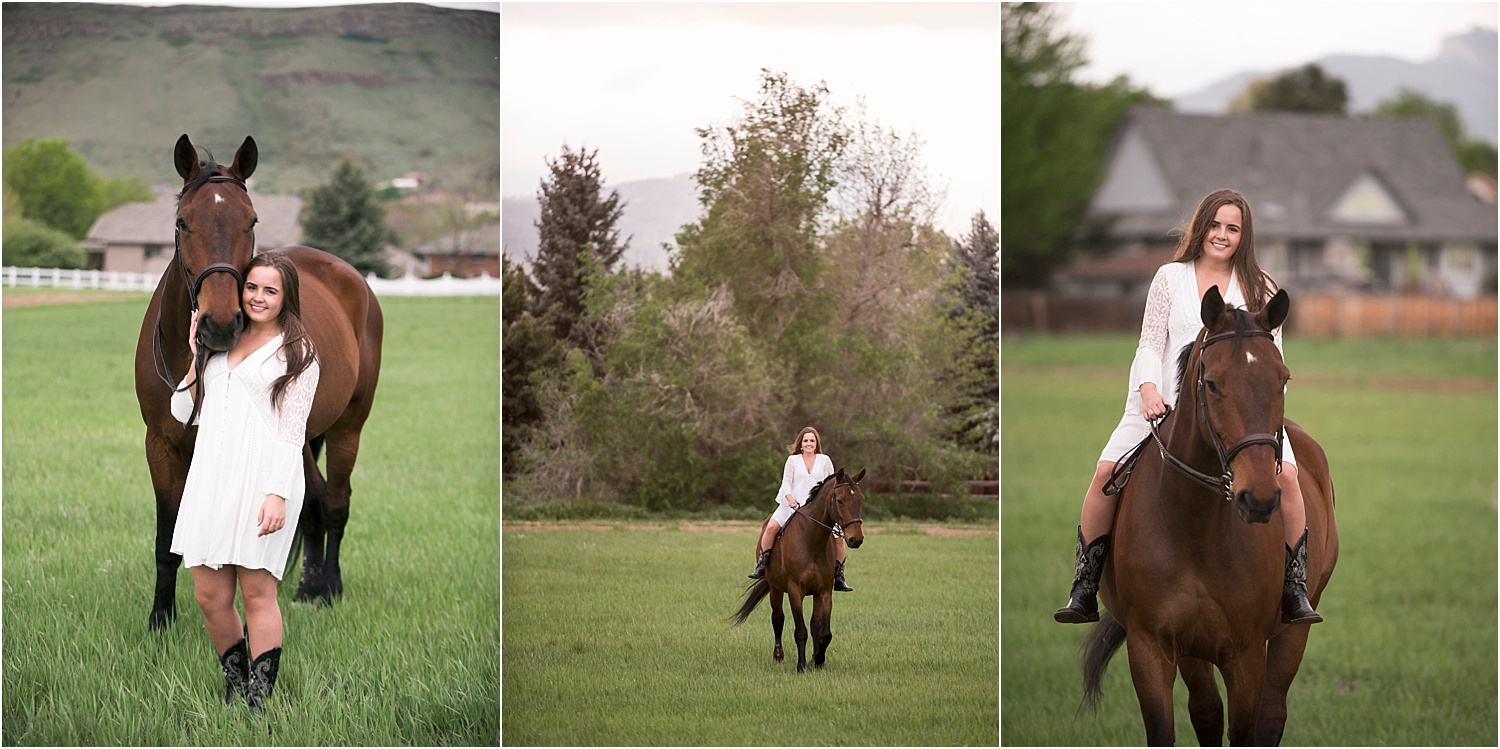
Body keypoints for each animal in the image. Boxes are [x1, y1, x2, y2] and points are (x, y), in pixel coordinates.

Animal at [132, 132, 384, 630]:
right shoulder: (161, 446)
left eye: (250, 220)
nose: (220, 323)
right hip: (299, 435)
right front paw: (160, 620)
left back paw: (330, 588)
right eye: (183, 222)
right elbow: (167, 540)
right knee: (312, 502)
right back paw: (307, 588)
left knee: (336, 502)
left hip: (348, 426)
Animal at [729, 468, 870, 675]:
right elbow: (800, 631)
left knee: (813, 625)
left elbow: (823, 632)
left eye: (860, 499)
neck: (812, 541)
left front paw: (817, 661)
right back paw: (778, 655)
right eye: (840, 500)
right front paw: (801, 666)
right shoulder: (795, 590)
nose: (856, 539)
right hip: (775, 588)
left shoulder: (824, 592)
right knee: (778, 618)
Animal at [1080, 285, 1338, 744]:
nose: (1259, 498)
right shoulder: (1153, 647)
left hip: (1296, 628)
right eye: (1213, 384)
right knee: (1206, 711)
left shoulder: (1246, 655)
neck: (1194, 526)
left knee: (1274, 713)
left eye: (1282, 379)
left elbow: (1248, 727)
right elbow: (1178, 725)